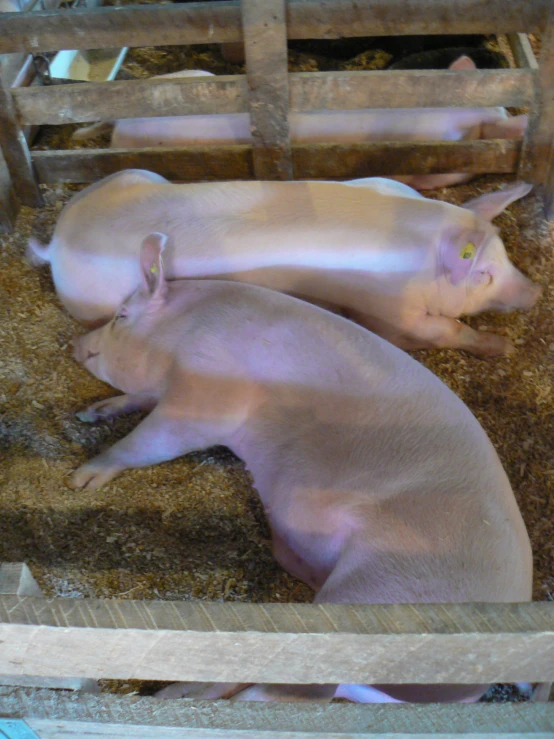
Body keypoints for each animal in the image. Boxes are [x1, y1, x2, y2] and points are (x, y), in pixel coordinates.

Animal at [29, 173, 540, 358]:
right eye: (485, 274)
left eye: (506, 253)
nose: (534, 292)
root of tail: (56, 244)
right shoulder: (391, 311)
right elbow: (443, 331)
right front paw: (504, 347)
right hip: (94, 302)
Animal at [69, 234, 532, 704]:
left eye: (122, 316)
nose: (74, 345)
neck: (183, 331)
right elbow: (138, 400)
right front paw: (91, 413)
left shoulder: (208, 393)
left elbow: (150, 440)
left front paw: (81, 480)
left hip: (377, 595)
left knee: (285, 689)